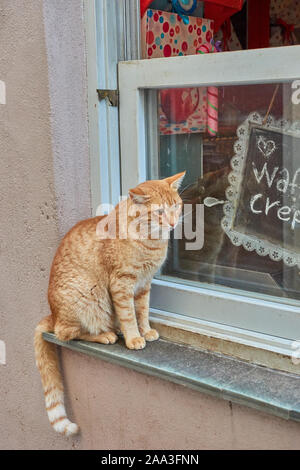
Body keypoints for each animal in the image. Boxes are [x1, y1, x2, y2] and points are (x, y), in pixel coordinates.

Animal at [35, 173, 185, 436]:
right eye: (159, 212)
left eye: (176, 206)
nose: (174, 223)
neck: (151, 241)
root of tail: (52, 315)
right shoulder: (122, 285)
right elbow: (129, 316)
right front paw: (134, 337)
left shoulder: (144, 285)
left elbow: (142, 312)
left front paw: (146, 331)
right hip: (89, 296)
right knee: (66, 333)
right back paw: (106, 335)